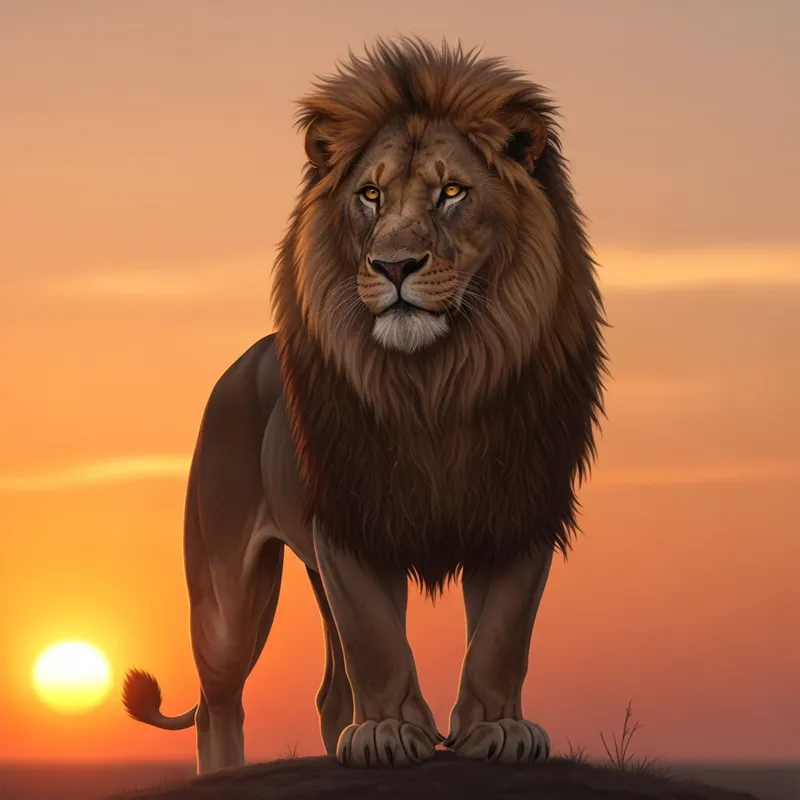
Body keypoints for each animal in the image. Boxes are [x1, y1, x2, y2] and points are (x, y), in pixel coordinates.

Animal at [122, 37, 606, 776]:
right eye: (370, 195)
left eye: (452, 191)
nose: (394, 266)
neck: (437, 381)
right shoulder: (351, 519)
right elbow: (376, 639)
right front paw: (387, 733)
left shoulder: (519, 509)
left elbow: (502, 634)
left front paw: (497, 730)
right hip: (225, 592)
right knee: (217, 701)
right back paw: (230, 769)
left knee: (324, 693)